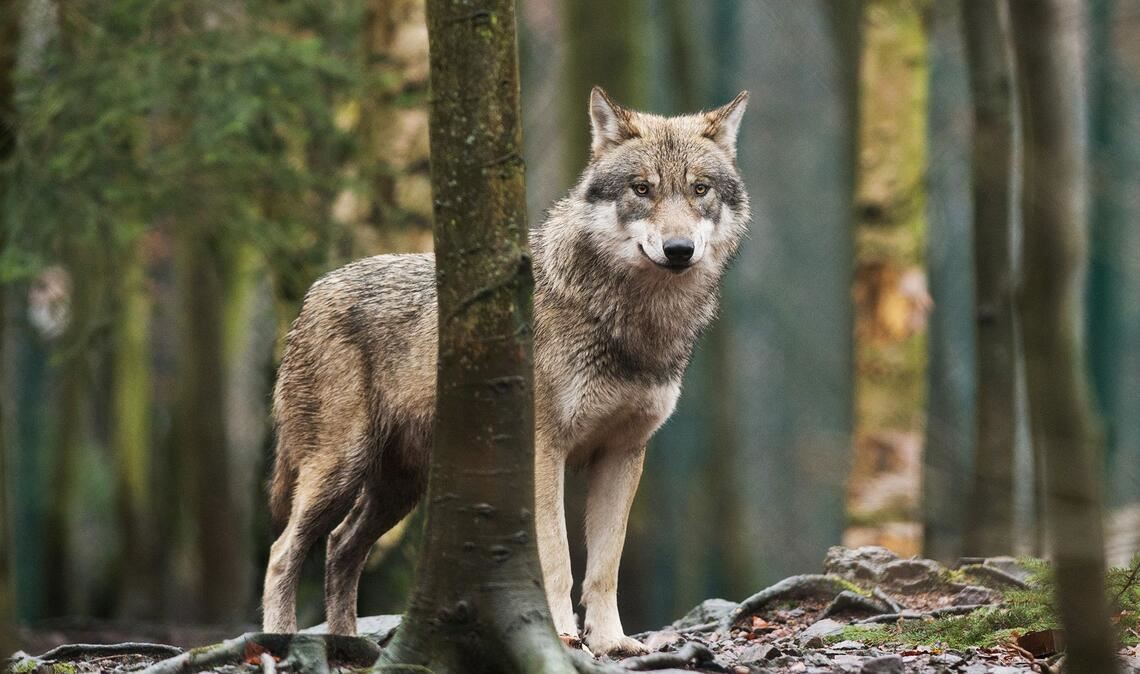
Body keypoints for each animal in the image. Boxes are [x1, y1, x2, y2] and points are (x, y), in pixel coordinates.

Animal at [261, 87, 750, 656]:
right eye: (642, 189)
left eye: (699, 189)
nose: (678, 249)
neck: (631, 322)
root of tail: (313, 294)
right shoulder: (544, 451)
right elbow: (557, 559)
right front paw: (561, 637)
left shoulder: (623, 453)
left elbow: (605, 566)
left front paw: (612, 642)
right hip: (340, 470)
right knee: (282, 553)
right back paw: (280, 643)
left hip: (399, 489)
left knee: (340, 548)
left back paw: (348, 647)